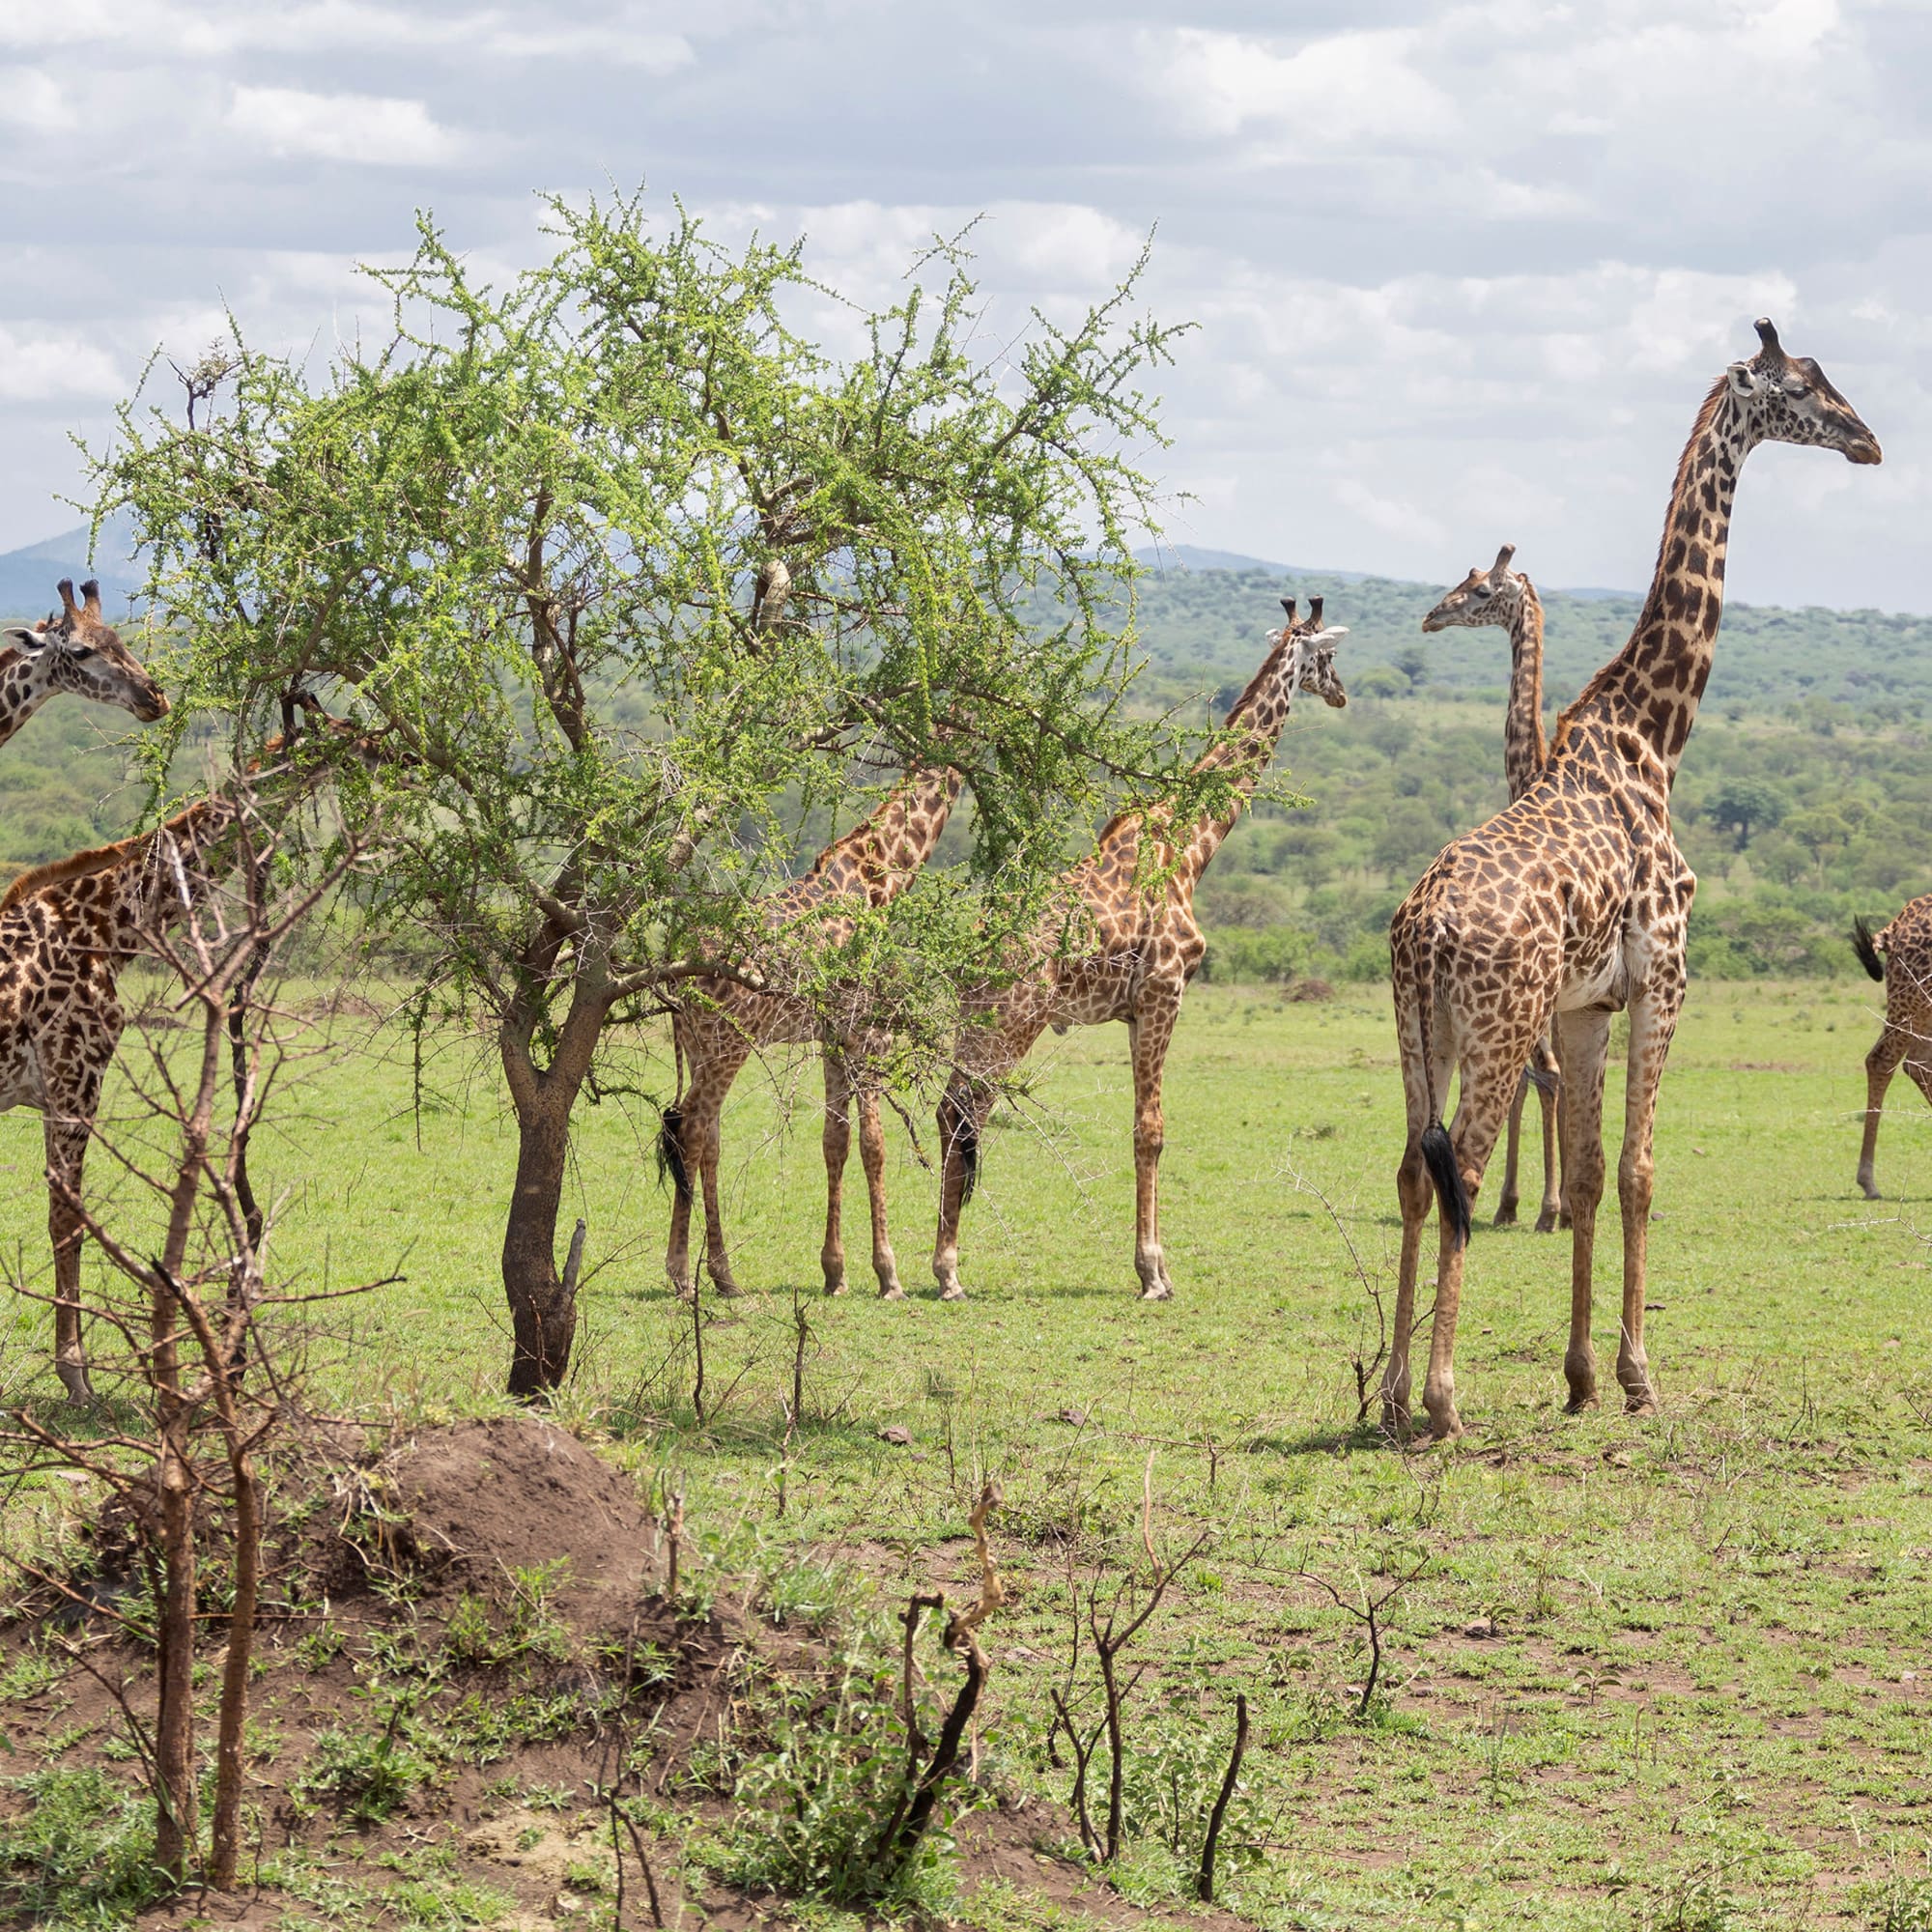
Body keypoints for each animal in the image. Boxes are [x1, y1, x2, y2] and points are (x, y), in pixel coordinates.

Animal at [659, 765, 964, 1301]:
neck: (880, 878)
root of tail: (680, 962)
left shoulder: (832, 1039)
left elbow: (834, 1140)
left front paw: (835, 1272)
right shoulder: (868, 1031)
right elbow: (873, 1144)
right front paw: (888, 1275)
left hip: (697, 1045)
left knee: (708, 1136)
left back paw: (725, 1276)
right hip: (726, 1043)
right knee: (692, 1129)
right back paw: (680, 1275)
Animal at [931, 599, 1349, 1302]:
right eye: (1329, 656)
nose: (1343, 694)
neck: (1193, 842)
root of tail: (971, 951)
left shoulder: (1135, 1010)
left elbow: (1139, 1126)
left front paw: (1149, 1265)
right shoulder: (1165, 990)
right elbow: (1150, 1131)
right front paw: (1155, 1272)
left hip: (977, 1019)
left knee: (948, 1111)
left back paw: (938, 1265)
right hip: (1015, 1020)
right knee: (966, 1114)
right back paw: (949, 1272)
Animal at [1385, 319, 1879, 1443]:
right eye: (1802, 388)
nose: (1869, 441)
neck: (1655, 732)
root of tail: (1423, 930)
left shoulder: (1584, 1006)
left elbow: (1586, 1173)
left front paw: (1577, 1378)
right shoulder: (1665, 977)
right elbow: (1641, 1171)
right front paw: (1639, 1377)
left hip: (1419, 1028)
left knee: (1409, 1170)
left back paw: (1383, 1392)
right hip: (1495, 1021)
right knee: (1457, 1167)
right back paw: (1440, 1399)